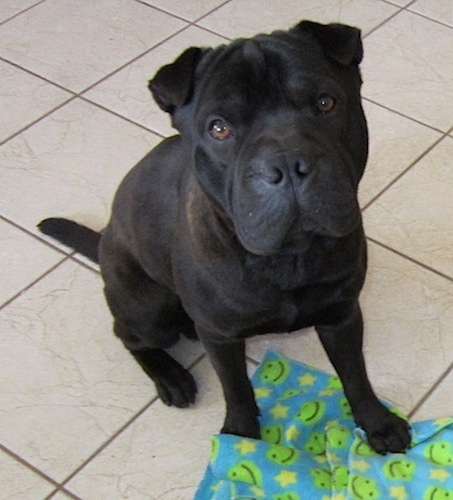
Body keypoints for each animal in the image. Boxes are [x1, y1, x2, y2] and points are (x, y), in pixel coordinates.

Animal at [39, 21, 410, 456]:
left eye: (325, 103)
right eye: (219, 128)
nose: (287, 162)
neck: (286, 258)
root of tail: (103, 240)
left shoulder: (341, 314)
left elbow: (355, 374)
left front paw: (376, 422)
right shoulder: (220, 338)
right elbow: (236, 388)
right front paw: (241, 438)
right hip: (149, 310)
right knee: (129, 336)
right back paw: (171, 377)